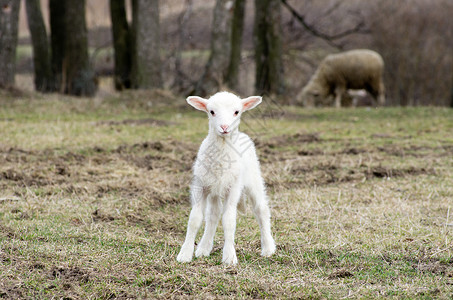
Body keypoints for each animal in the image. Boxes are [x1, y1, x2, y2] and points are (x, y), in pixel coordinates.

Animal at [177, 91, 276, 264]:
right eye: (211, 112)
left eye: (236, 112)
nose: (224, 127)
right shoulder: (201, 185)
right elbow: (195, 219)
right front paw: (185, 254)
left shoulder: (233, 188)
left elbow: (229, 221)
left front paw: (229, 256)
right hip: (215, 190)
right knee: (213, 215)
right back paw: (204, 248)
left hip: (253, 179)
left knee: (261, 210)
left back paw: (268, 248)